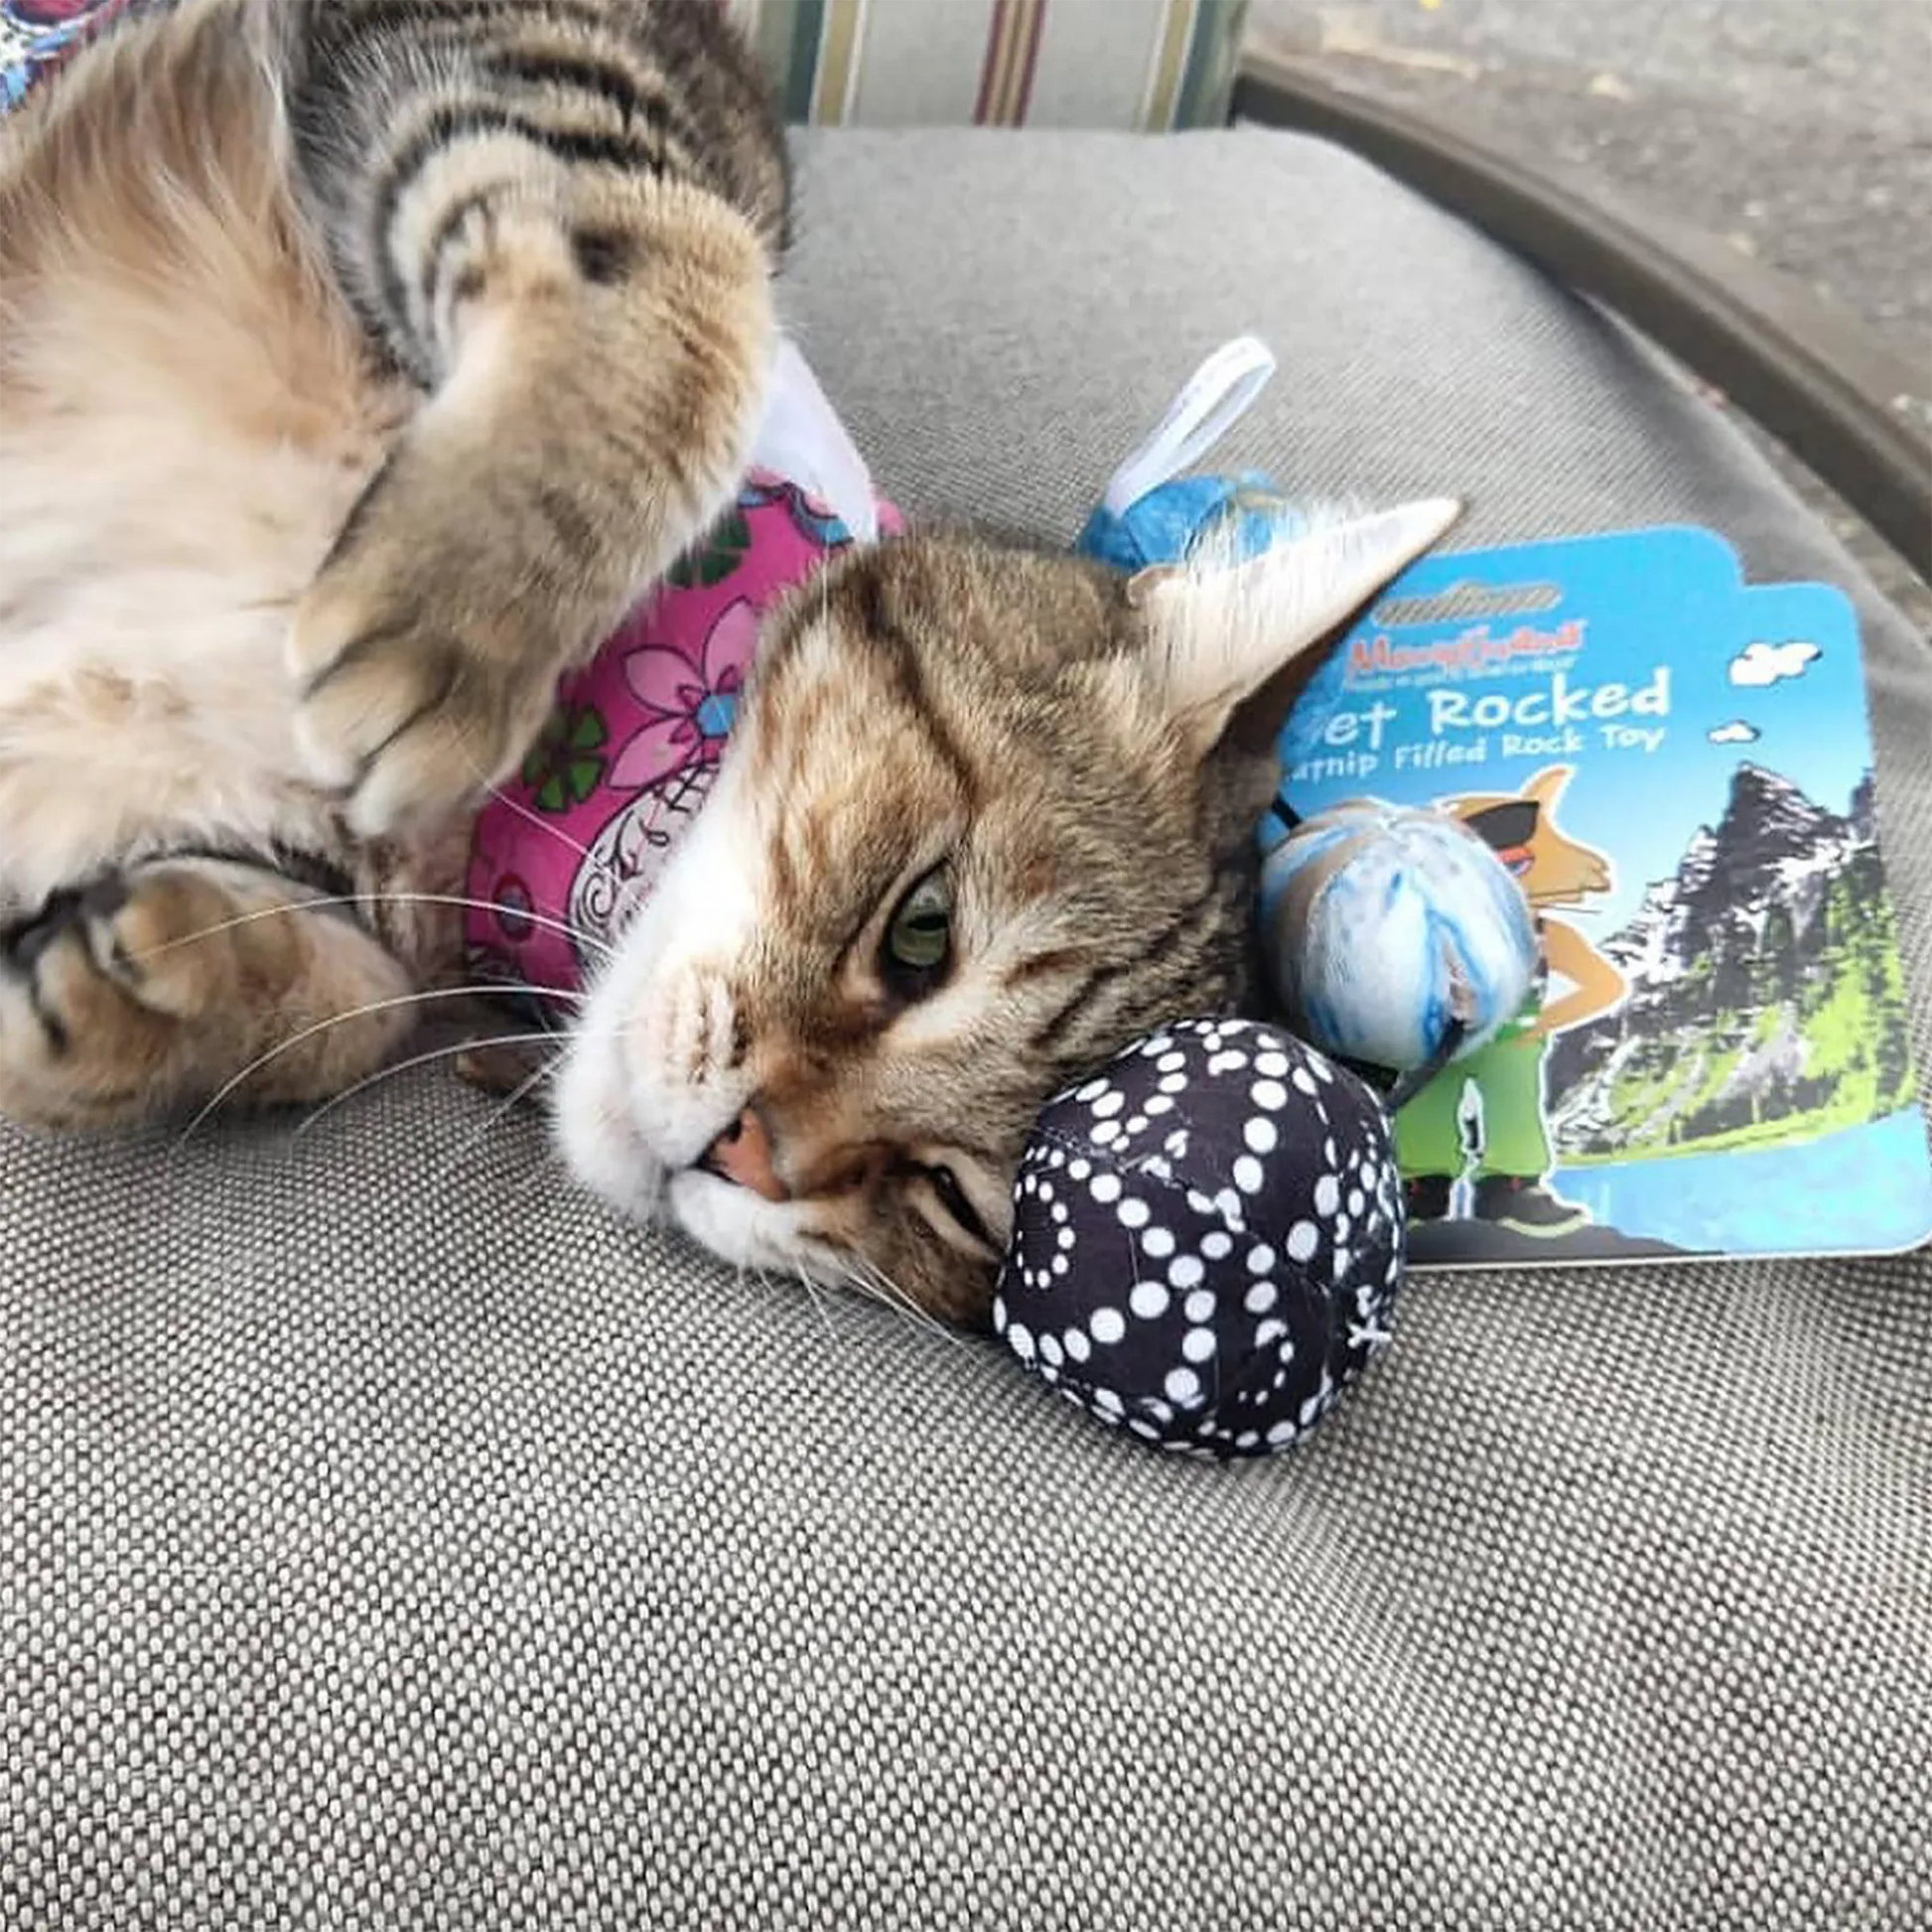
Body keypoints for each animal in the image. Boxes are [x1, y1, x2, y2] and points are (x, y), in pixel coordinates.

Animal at [0, 0, 1452, 1328]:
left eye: (948, 1194)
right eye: (922, 931)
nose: (746, 1152)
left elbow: (356, 999)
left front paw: (156, 997)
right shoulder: (563, 48)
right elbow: (691, 271)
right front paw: (454, 616)